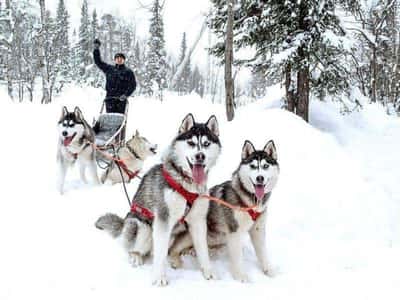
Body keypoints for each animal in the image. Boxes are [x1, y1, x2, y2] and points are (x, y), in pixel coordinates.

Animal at [97, 113, 222, 286]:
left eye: (206, 144)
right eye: (191, 143)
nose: (200, 156)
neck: (186, 182)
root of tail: (123, 223)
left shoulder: (198, 221)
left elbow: (203, 250)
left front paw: (208, 272)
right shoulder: (163, 219)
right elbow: (160, 253)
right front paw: (159, 277)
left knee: (166, 251)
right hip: (142, 226)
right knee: (135, 249)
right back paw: (136, 257)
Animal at [168, 139, 278, 282]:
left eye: (265, 166)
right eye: (253, 166)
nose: (260, 178)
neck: (251, 201)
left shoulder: (258, 229)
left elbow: (262, 253)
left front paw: (269, 270)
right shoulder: (234, 231)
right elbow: (238, 258)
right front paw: (240, 277)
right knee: (172, 249)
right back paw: (178, 259)